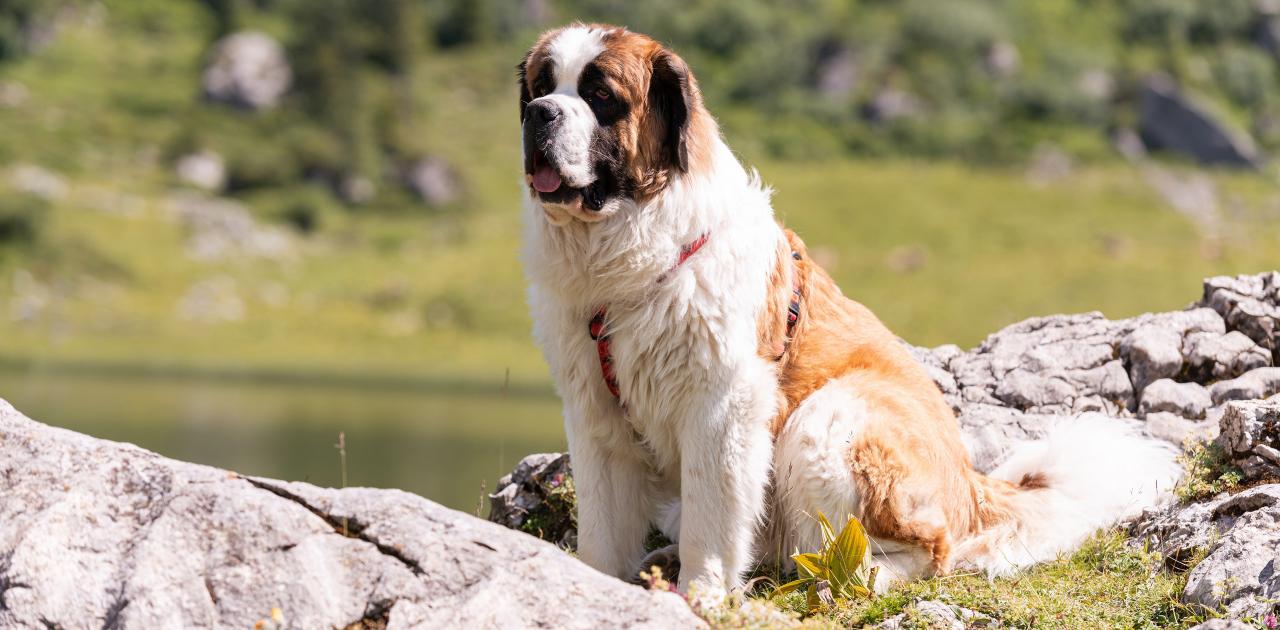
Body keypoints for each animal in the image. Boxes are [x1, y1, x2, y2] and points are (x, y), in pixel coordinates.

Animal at [517, 23, 1177, 596]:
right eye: (540, 84)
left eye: (601, 96)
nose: (538, 113)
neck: (626, 261)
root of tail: (971, 483)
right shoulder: (594, 410)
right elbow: (603, 529)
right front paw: (595, 587)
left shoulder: (722, 405)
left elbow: (712, 517)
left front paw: (699, 595)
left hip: (830, 418)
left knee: (921, 550)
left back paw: (851, 580)